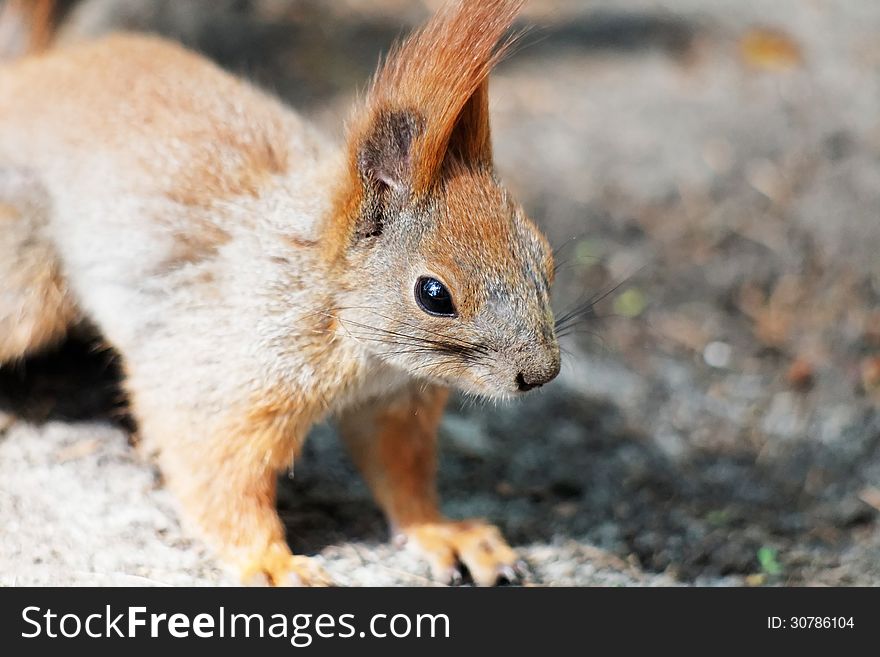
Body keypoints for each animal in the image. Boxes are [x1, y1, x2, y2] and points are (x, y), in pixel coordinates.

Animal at [0, 0, 560, 584]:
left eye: (546, 258)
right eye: (433, 294)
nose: (541, 374)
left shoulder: (393, 403)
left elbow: (401, 474)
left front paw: (443, 531)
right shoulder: (222, 375)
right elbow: (219, 475)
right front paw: (271, 563)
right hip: (23, 279)